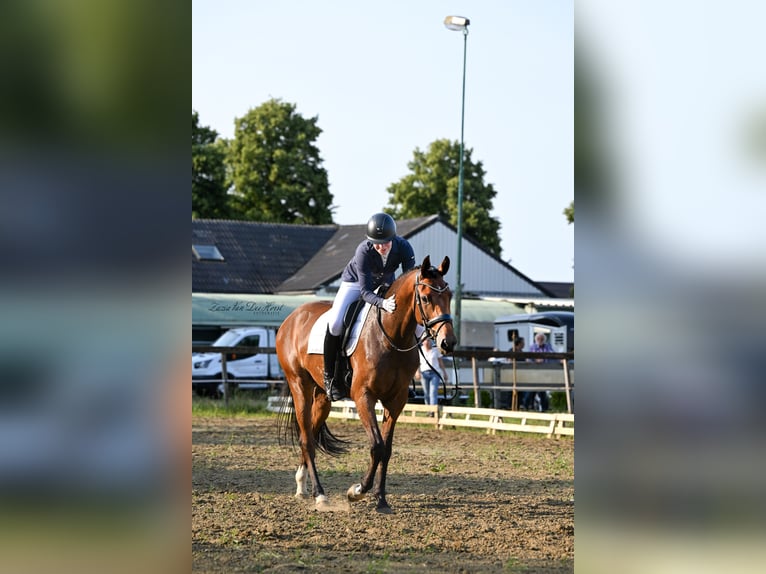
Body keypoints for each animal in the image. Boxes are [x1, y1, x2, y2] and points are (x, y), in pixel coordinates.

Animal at [276, 255, 456, 512]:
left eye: (449, 295)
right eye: (425, 298)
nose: (447, 343)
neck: (390, 337)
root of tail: (293, 317)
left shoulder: (396, 401)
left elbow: (387, 450)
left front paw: (381, 500)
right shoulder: (364, 397)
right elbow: (377, 446)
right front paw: (357, 491)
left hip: (322, 397)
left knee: (310, 433)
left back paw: (302, 485)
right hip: (300, 385)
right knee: (307, 439)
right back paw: (320, 494)